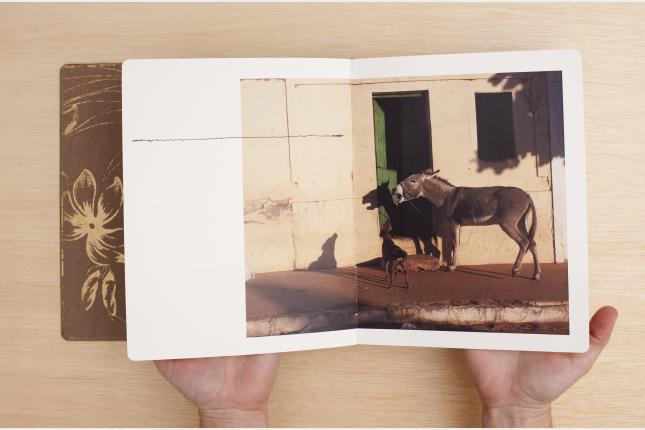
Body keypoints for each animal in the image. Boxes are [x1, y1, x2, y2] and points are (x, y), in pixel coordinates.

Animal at [393, 169, 541, 280]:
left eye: (412, 180)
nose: (395, 190)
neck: (446, 197)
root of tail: (527, 195)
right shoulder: (456, 225)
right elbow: (450, 244)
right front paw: (451, 264)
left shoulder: (453, 223)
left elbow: (453, 243)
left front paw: (451, 267)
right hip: (521, 222)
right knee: (532, 243)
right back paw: (536, 274)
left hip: (508, 223)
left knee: (523, 242)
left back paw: (515, 270)